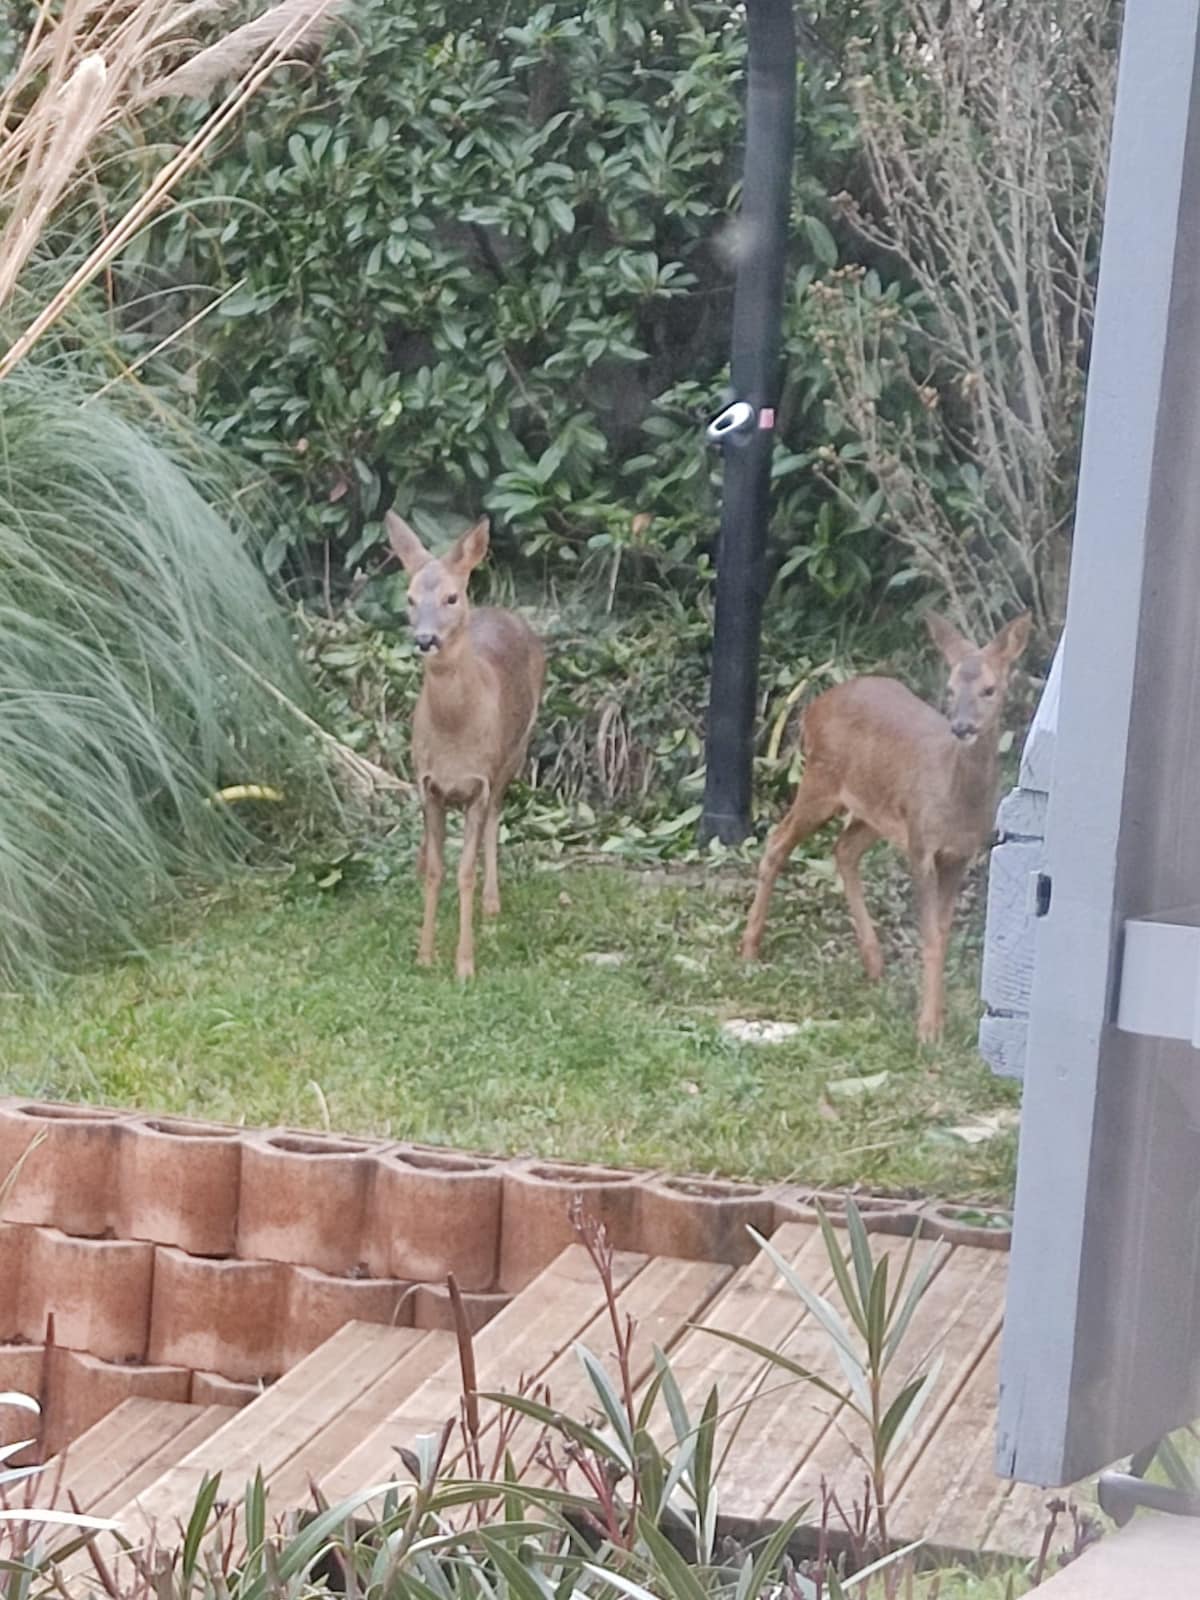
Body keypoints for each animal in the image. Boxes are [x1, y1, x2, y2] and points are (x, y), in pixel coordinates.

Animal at [387, 512, 547, 979]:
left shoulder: (480, 782)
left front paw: (464, 964)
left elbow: (464, 873)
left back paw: (491, 905)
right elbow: (437, 871)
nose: (425, 639)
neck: (455, 733)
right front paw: (424, 955)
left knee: (496, 819)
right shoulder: (428, 785)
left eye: (451, 597)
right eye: (409, 598)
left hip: (516, 750)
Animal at [742, 608, 1036, 1036]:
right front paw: (927, 1028)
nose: (962, 727)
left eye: (989, 689)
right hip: (821, 779)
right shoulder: (921, 842)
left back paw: (874, 963)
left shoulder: (960, 854)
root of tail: (815, 706)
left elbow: (942, 933)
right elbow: (930, 935)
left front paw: (937, 1018)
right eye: (950, 689)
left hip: (874, 809)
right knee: (778, 840)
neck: (955, 802)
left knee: (844, 848)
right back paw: (749, 948)